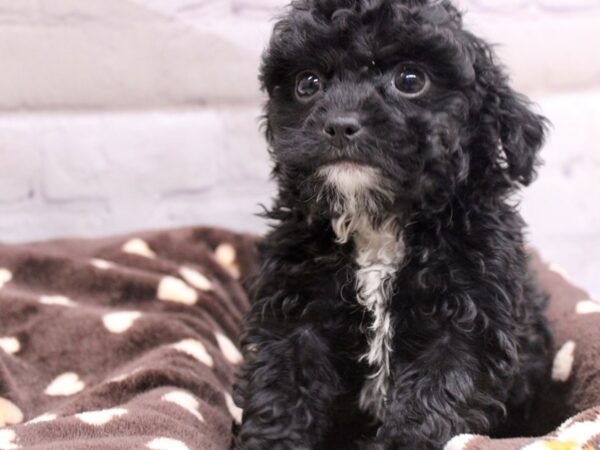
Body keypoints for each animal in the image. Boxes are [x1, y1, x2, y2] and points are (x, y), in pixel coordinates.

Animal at [232, 1, 552, 448]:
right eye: (307, 84)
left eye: (410, 80)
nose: (340, 124)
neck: (377, 223)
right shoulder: (294, 309)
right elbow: (282, 384)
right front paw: (271, 440)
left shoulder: (466, 318)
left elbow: (436, 396)